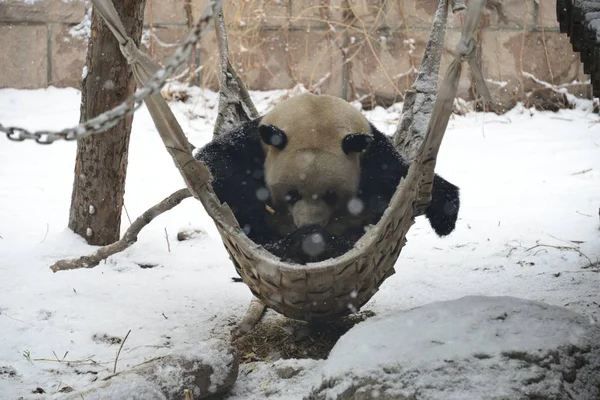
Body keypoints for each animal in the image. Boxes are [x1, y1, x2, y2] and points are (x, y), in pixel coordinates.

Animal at [193, 92, 460, 264]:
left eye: (331, 196)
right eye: (291, 195)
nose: (309, 224)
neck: (316, 117)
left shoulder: (373, 158)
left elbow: (401, 176)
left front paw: (444, 216)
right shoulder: (254, 144)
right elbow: (215, 162)